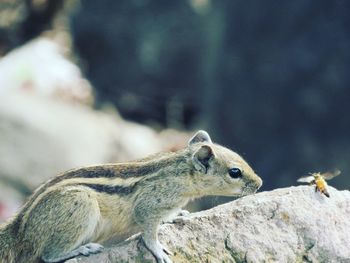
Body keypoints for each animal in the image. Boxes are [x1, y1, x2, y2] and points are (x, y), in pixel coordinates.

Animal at [0, 131, 262, 262]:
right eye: (235, 172)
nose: (260, 183)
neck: (180, 172)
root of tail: (20, 232)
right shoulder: (149, 205)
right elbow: (148, 232)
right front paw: (158, 249)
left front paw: (176, 215)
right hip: (81, 204)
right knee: (48, 255)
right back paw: (82, 249)